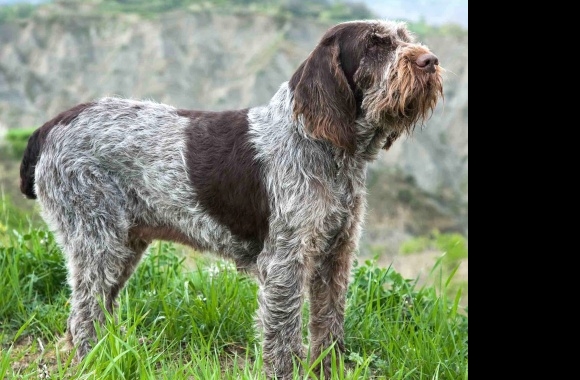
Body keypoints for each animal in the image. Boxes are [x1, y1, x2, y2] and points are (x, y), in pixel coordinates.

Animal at [19, 19, 444, 378]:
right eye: (375, 44)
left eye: (403, 38)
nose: (431, 60)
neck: (320, 146)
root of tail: (49, 126)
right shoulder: (285, 263)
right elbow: (283, 337)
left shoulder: (335, 255)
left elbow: (328, 325)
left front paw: (331, 370)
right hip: (98, 241)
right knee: (84, 314)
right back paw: (94, 360)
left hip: (124, 244)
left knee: (95, 308)